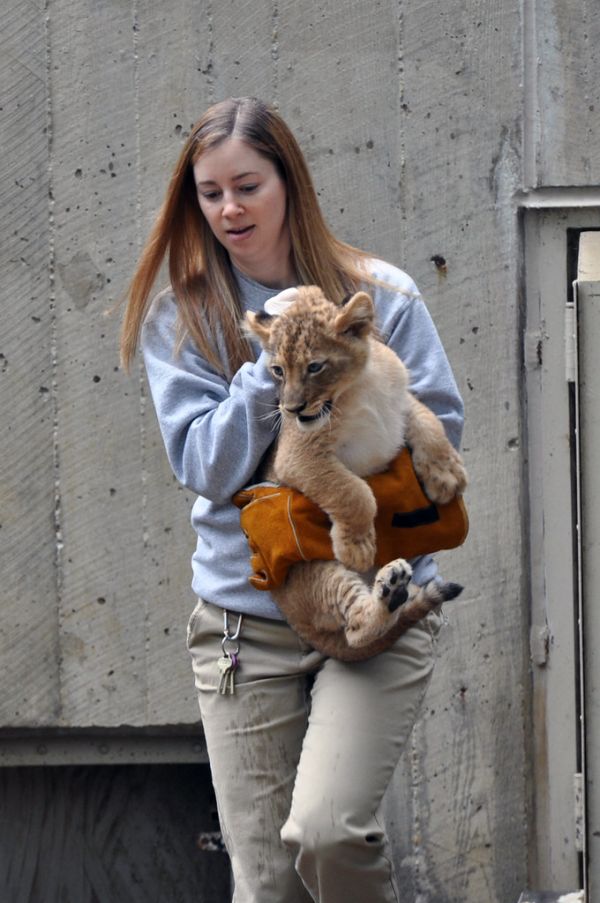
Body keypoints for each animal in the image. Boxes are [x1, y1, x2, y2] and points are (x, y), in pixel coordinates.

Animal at [244, 285, 467, 661]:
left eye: (315, 366)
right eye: (277, 371)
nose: (291, 409)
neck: (360, 387)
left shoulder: (402, 403)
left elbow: (429, 421)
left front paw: (446, 475)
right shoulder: (296, 454)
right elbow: (352, 490)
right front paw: (358, 546)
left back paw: (394, 588)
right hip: (311, 569)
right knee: (355, 631)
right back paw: (388, 590)